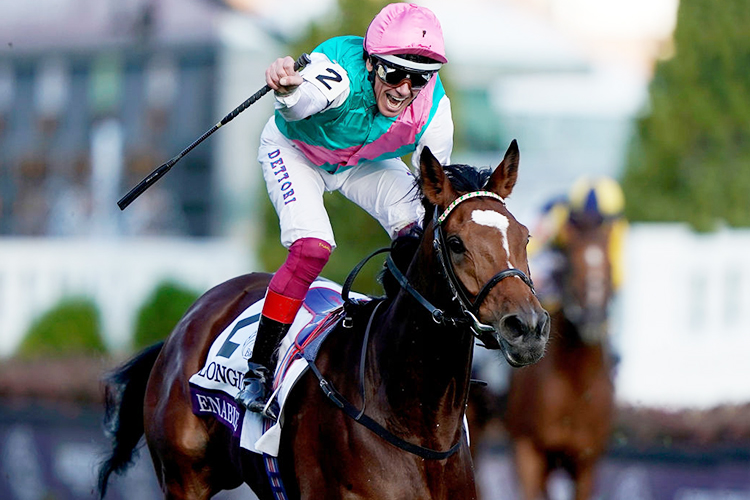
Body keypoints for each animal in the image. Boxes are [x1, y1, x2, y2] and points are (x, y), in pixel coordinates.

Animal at [97, 142, 548, 500]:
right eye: (456, 244)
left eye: (524, 236)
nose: (527, 327)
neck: (416, 420)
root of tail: (188, 320)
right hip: (184, 480)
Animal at [506, 177, 628, 500]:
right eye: (573, 265)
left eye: (609, 267)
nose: (593, 319)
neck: (575, 383)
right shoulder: (529, 449)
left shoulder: (586, 459)